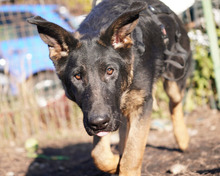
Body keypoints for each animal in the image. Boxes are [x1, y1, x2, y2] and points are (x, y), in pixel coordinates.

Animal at [27, 0, 192, 175]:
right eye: (77, 76)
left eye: (110, 70)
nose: (98, 123)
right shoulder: (99, 113)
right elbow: (99, 154)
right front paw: (114, 163)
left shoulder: (141, 104)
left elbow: (132, 155)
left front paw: (124, 166)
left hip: (174, 80)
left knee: (174, 103)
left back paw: (182, 138)